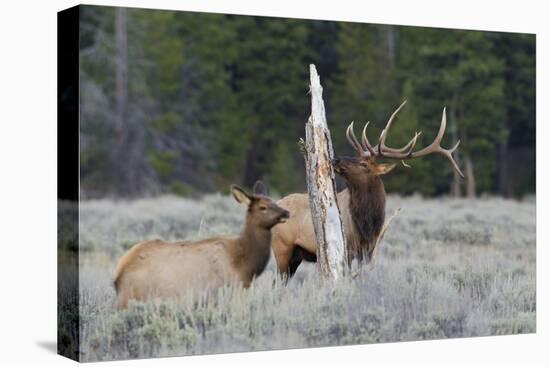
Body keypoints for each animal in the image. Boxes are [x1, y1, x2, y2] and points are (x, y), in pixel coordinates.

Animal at [115, 183, 292, 310]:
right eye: (263, 207)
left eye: (273, 201)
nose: (286, 212)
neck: (245, 265)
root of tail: (118, 276)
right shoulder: (222, 291)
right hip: (133, 298)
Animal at [272, 100, 466, 278]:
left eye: (364, 163)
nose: (335, 159)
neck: (367, 224)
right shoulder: (348, 248)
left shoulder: (369, 250)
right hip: (282, 248)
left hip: (295, 256)